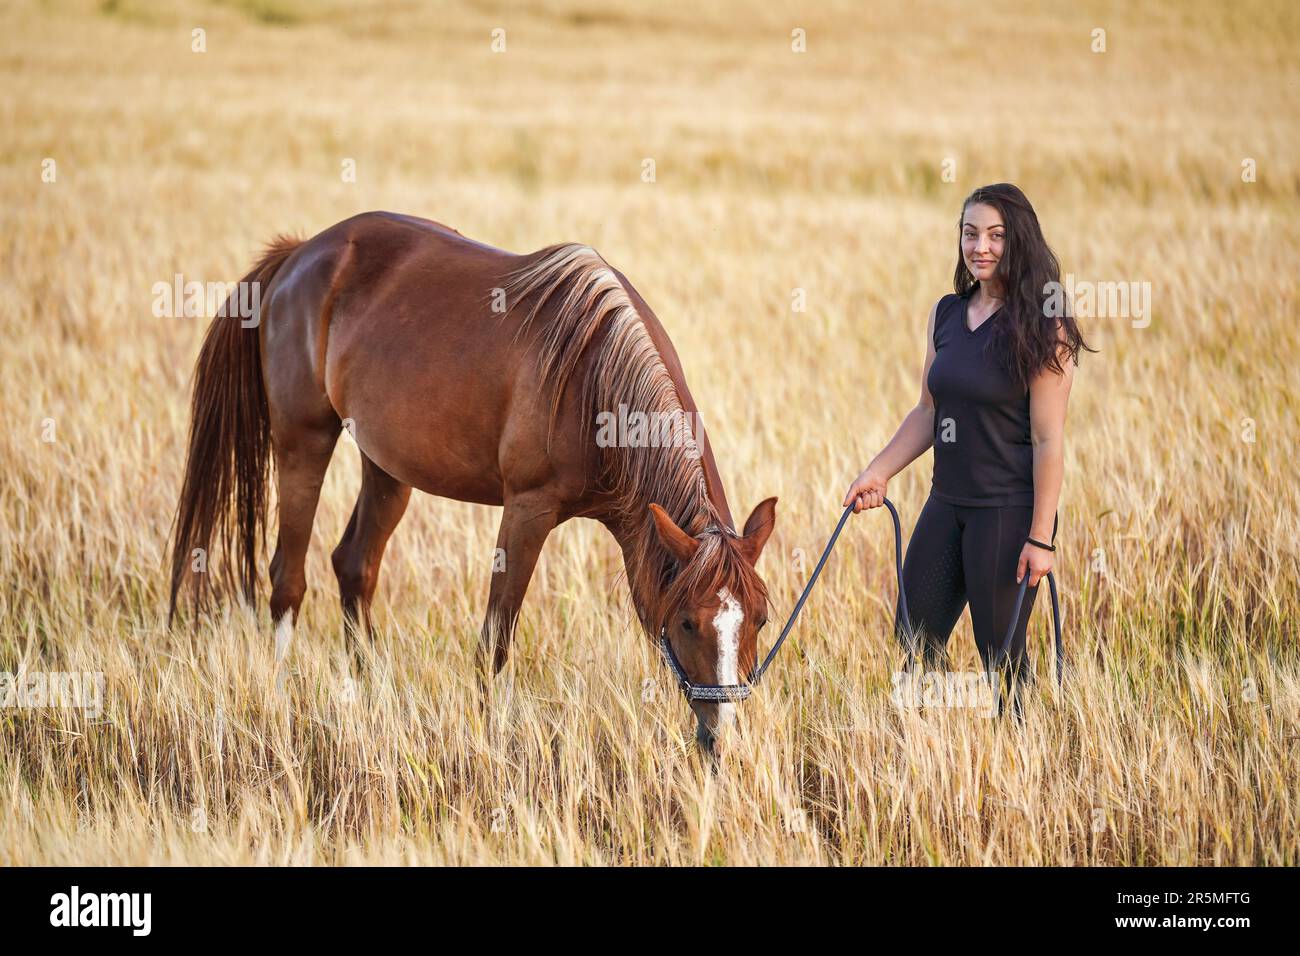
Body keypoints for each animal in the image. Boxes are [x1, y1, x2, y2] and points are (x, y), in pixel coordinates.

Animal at [172, 213, 780, 749]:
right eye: (687, 623)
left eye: (761, 620)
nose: (723, 734)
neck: (592, 377)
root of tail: (300, 254)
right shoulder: (528, 510)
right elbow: (495, 643)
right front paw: (492, 742)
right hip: (304, 442)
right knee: (287, 581)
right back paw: (279, 700)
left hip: (387, 465)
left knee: (354, 565)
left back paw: (368, 692)